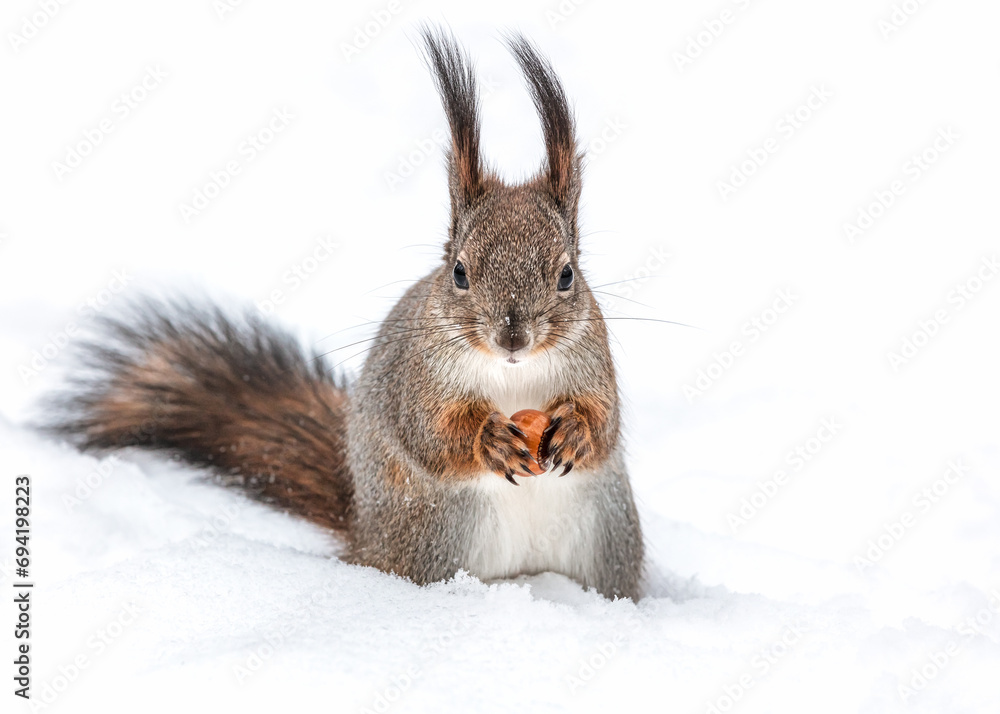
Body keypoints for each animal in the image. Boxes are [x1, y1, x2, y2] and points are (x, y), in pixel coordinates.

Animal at [49, 28, 645, 600]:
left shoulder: (594, 364)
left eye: (567, 275)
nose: (513, 337)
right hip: (436, 533)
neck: (513, 373)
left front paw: (576, 431)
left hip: (607, 541)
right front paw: (489, 439)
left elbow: (606, 421)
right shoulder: (417, 379)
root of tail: (365, 532)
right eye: (458, 272)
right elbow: (431, 434)